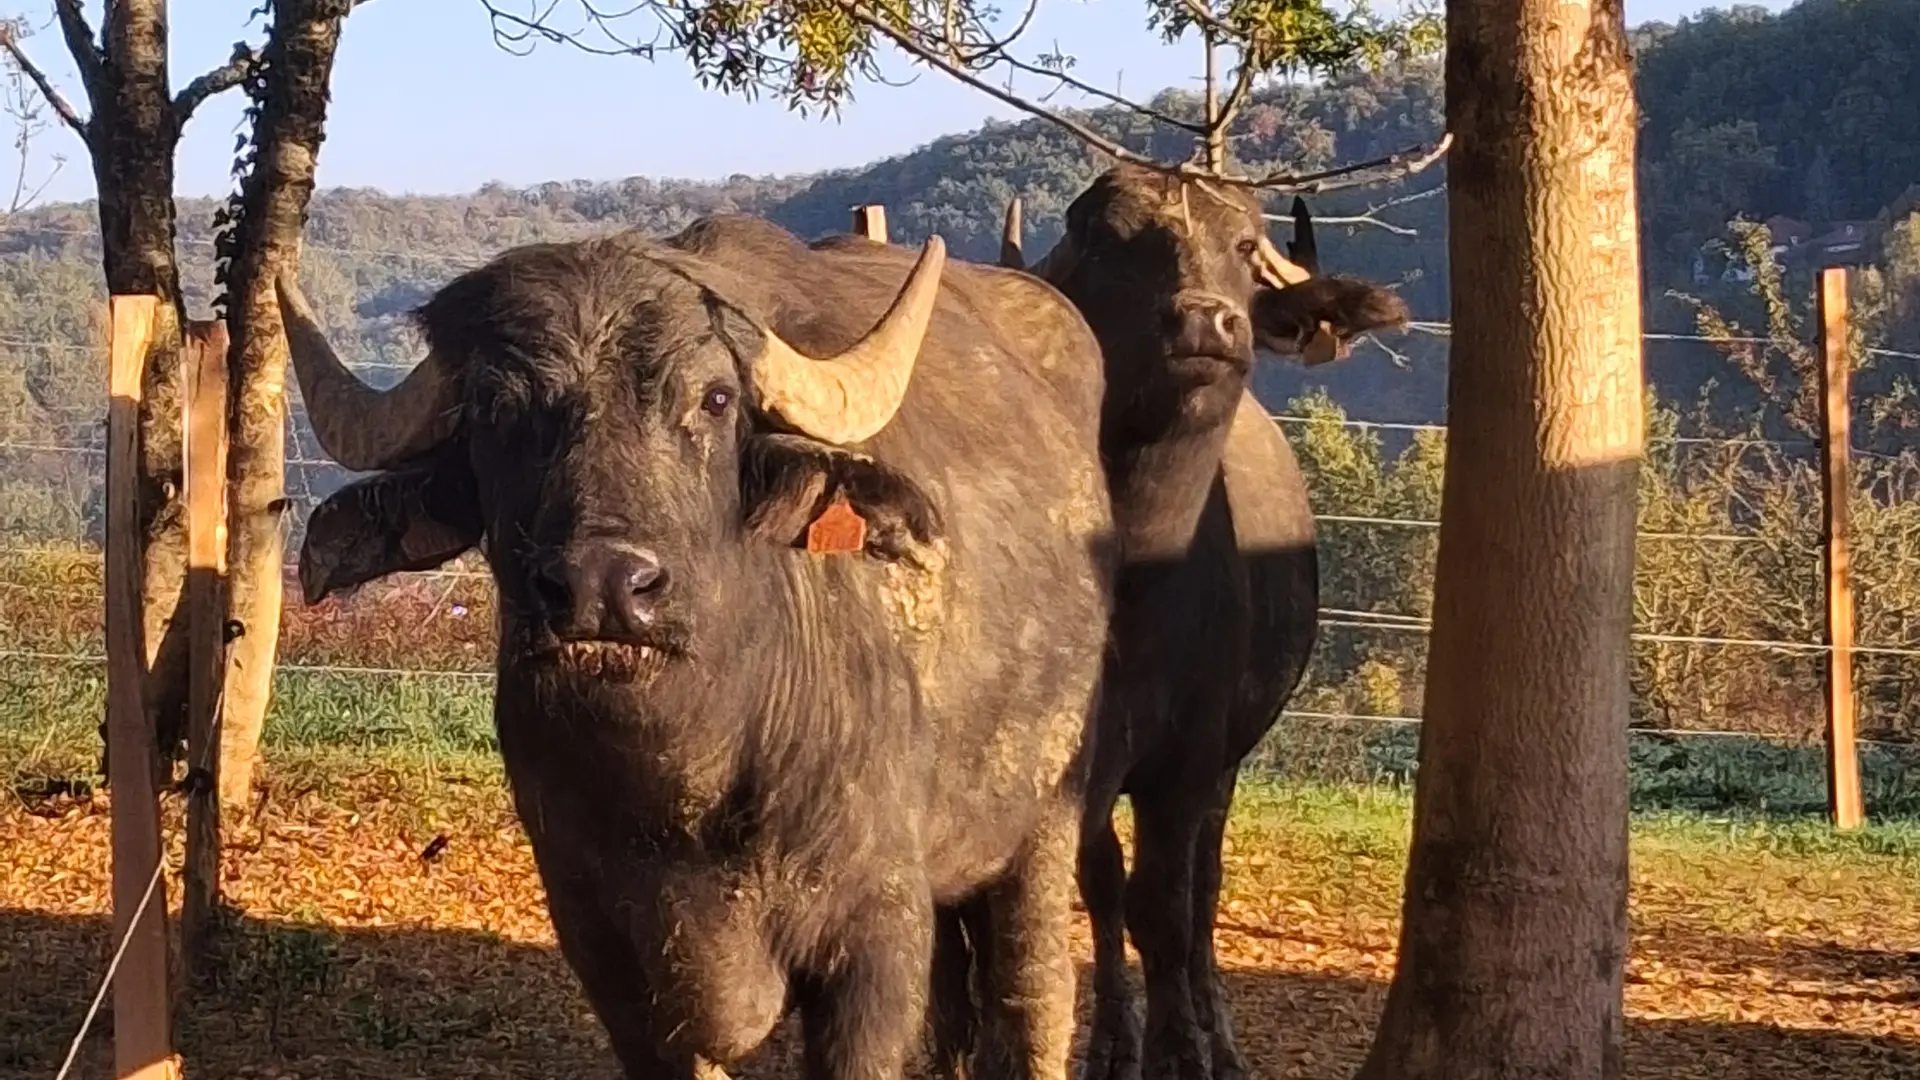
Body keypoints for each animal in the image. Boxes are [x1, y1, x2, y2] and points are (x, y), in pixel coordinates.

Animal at [279, 215, 1121, 1080]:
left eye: (715, 399)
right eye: (493, 408)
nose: (603, 585)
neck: (686, 792)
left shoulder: (877, 938)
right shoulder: (606, 952)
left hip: (1051, 815)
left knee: (1032, 993)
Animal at [943, 166, 1411, 1080]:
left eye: (1242, 245)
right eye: (1104, 238)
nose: (1204, 320)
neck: (1135, 573)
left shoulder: (1190, 756)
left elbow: (1164, 905)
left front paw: (1182, 1047)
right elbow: (1087, 895)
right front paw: (1112, 1042)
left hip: (1230, 757)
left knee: (1203, 887)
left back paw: (1216, 1032)